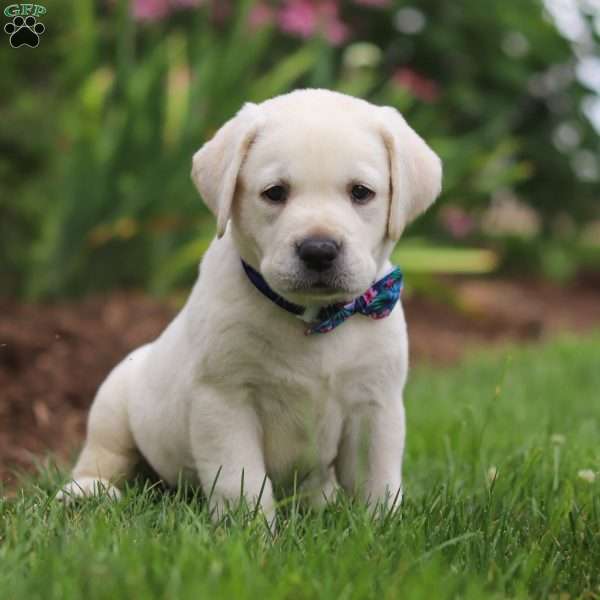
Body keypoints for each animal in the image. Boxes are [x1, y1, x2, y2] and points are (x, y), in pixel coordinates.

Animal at [57, 88, 440, 520]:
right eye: (275, 193)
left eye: (361, 192)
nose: (319, 250)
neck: (315, 319)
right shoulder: (226, 401)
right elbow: (241, 481)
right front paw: (249, 530)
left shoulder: (375, 405)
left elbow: (377, 482)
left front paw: (378, 526)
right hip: (114, 399)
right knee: (104, 455)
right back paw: (87, 491)